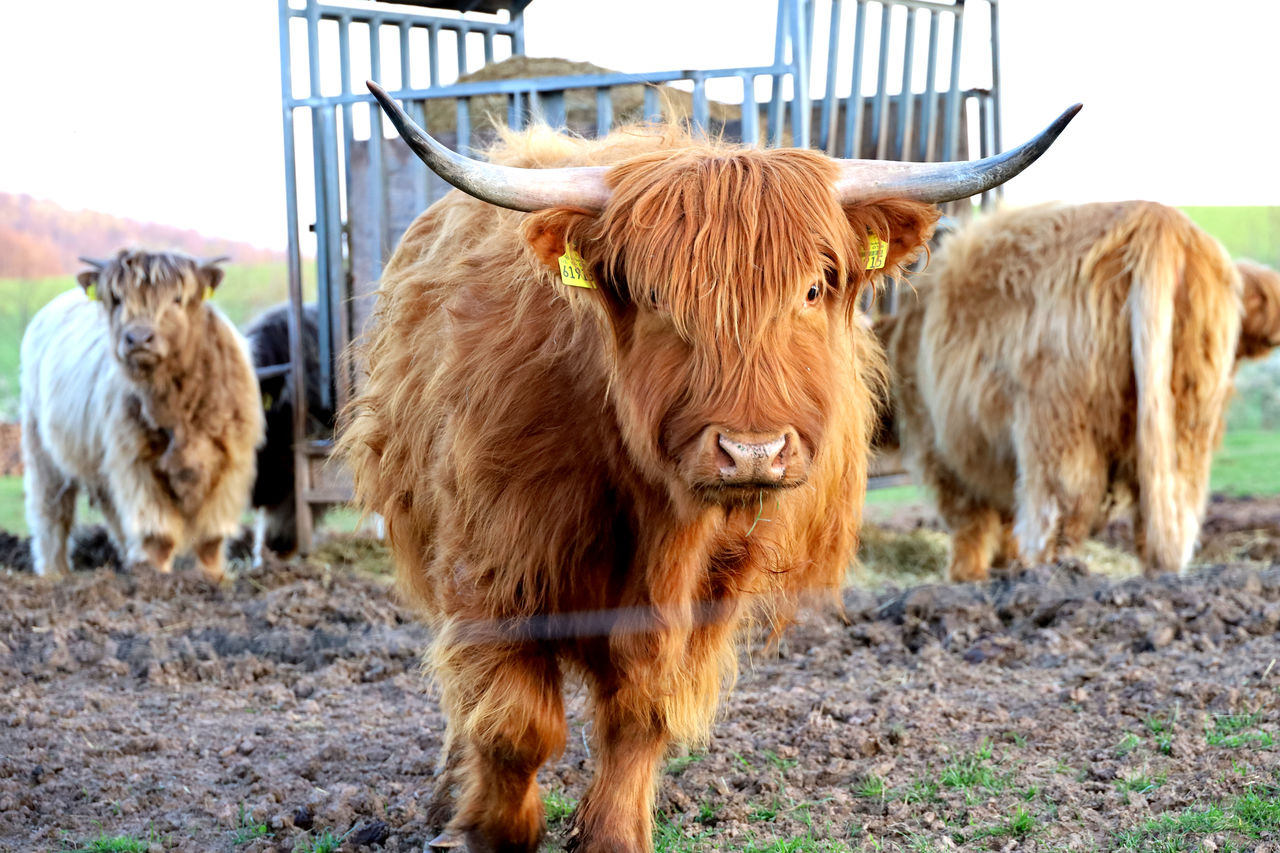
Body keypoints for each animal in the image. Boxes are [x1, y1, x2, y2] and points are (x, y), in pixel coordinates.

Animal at [21, 247, 263, 578]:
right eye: (117, 299)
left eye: (177, 298)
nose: (138, 338)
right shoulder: (137, 462)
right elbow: (158, 535)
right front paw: (155, 580)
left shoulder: (229, 462)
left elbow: (210, 538)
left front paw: (213, 578)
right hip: (42, 450)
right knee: (52, 513)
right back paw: (55, 574)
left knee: (111, 514)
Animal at [343, 81, 1080, 850]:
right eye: (655, 296)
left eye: (813, 288)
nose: (752, 451)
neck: (651, 510)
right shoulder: (495, 565)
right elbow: (515, 721)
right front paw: (488, 829)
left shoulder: (710, 586)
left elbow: (643, 710)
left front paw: (612, 833)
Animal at [875, 202, 1280, 581]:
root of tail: (1157, 220)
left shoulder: (939, 448)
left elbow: (970, 523)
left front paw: (967, 575)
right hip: (1185, 422)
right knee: (1167, 517)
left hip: (1057, 429)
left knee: (1056, 521)